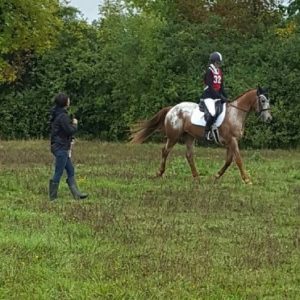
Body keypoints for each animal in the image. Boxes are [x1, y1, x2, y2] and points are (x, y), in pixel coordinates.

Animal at [131, 86, 272, 184]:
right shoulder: (232, 140)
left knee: (189, 155)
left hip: (189, 137)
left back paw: (197, 177)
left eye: (268, 100)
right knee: (165, 151)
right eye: (262, 100)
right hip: (173, 137)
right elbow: (238, 160)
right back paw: (159, 173)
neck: (235, 113)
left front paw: (216, 176)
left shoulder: (230, 142)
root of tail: (172, 109)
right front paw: (247, 179)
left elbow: (228, 161)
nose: (269, 119)